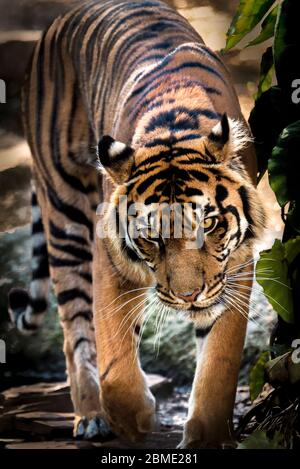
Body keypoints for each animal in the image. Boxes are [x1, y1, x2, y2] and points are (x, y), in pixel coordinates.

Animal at [8, 0, 264, 446]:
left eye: (211, 224)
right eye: (152, 238)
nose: (188, 297)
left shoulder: (235, 267)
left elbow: (219, 361)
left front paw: (207, 436)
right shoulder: (108, 258)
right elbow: (114, 355)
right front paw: (135, 420)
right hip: (64, 210)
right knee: (75, 327)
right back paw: (91, 416)